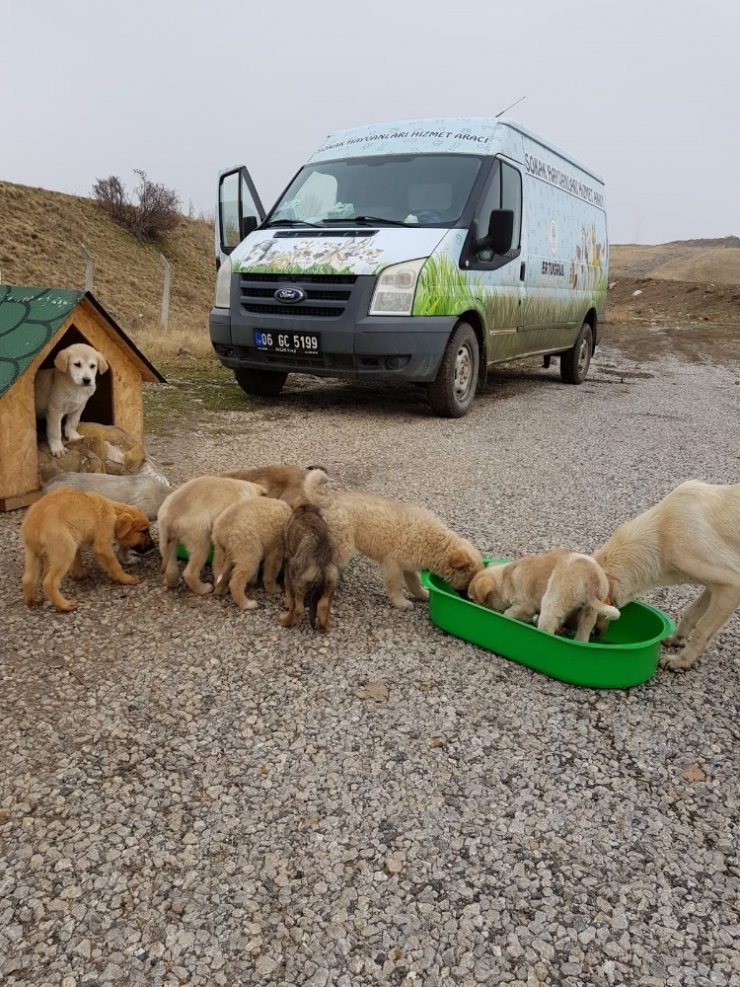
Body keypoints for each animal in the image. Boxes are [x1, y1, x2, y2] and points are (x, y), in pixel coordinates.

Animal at [21, 486, 153, 608]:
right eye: (144, 531)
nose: (153, 546)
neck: (113, 510)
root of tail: (33, 528)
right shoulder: (102, 545)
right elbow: (115, 566)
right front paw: (126, 579)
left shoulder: (76, 539)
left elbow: (78, 559)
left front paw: (78, 574)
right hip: (64, 550)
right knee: (48, 582)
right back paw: (64, 605)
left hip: (33, 554)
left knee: (28, 578)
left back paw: (32, 600)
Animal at [280, 468, 342, 632]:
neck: (305, 507)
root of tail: (321, 562)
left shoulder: (288, 560)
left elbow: (287, 586)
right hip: (330, 584)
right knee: (323, 606)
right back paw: (325, 627)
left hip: (298, 581)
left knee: (298, 608)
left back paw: (285, 621)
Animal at [320, 488, 482, 604]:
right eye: (468, 584)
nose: (468, 600)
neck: (435, 544)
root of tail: (326, 501)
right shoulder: (393, 564)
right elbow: (395, 585)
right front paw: (400, 603)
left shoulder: (408, 568)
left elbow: (415, 584)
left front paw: (424, 594)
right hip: (343, 545)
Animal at [468, 548, 620, 640]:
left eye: (474, 600)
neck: (505, 577)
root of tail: (591, 575)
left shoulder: (523, 605)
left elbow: (508, 613)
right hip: (590, 611)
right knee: (583, 633)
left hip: (553, 600)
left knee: (547, 628)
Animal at [592, 480, 740, 672]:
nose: (594, 636)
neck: (661, 534)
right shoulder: (715, 587)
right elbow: (691, 613)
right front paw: (677, 639)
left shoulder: (731, 587)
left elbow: (702, 630)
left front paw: (681, 661)